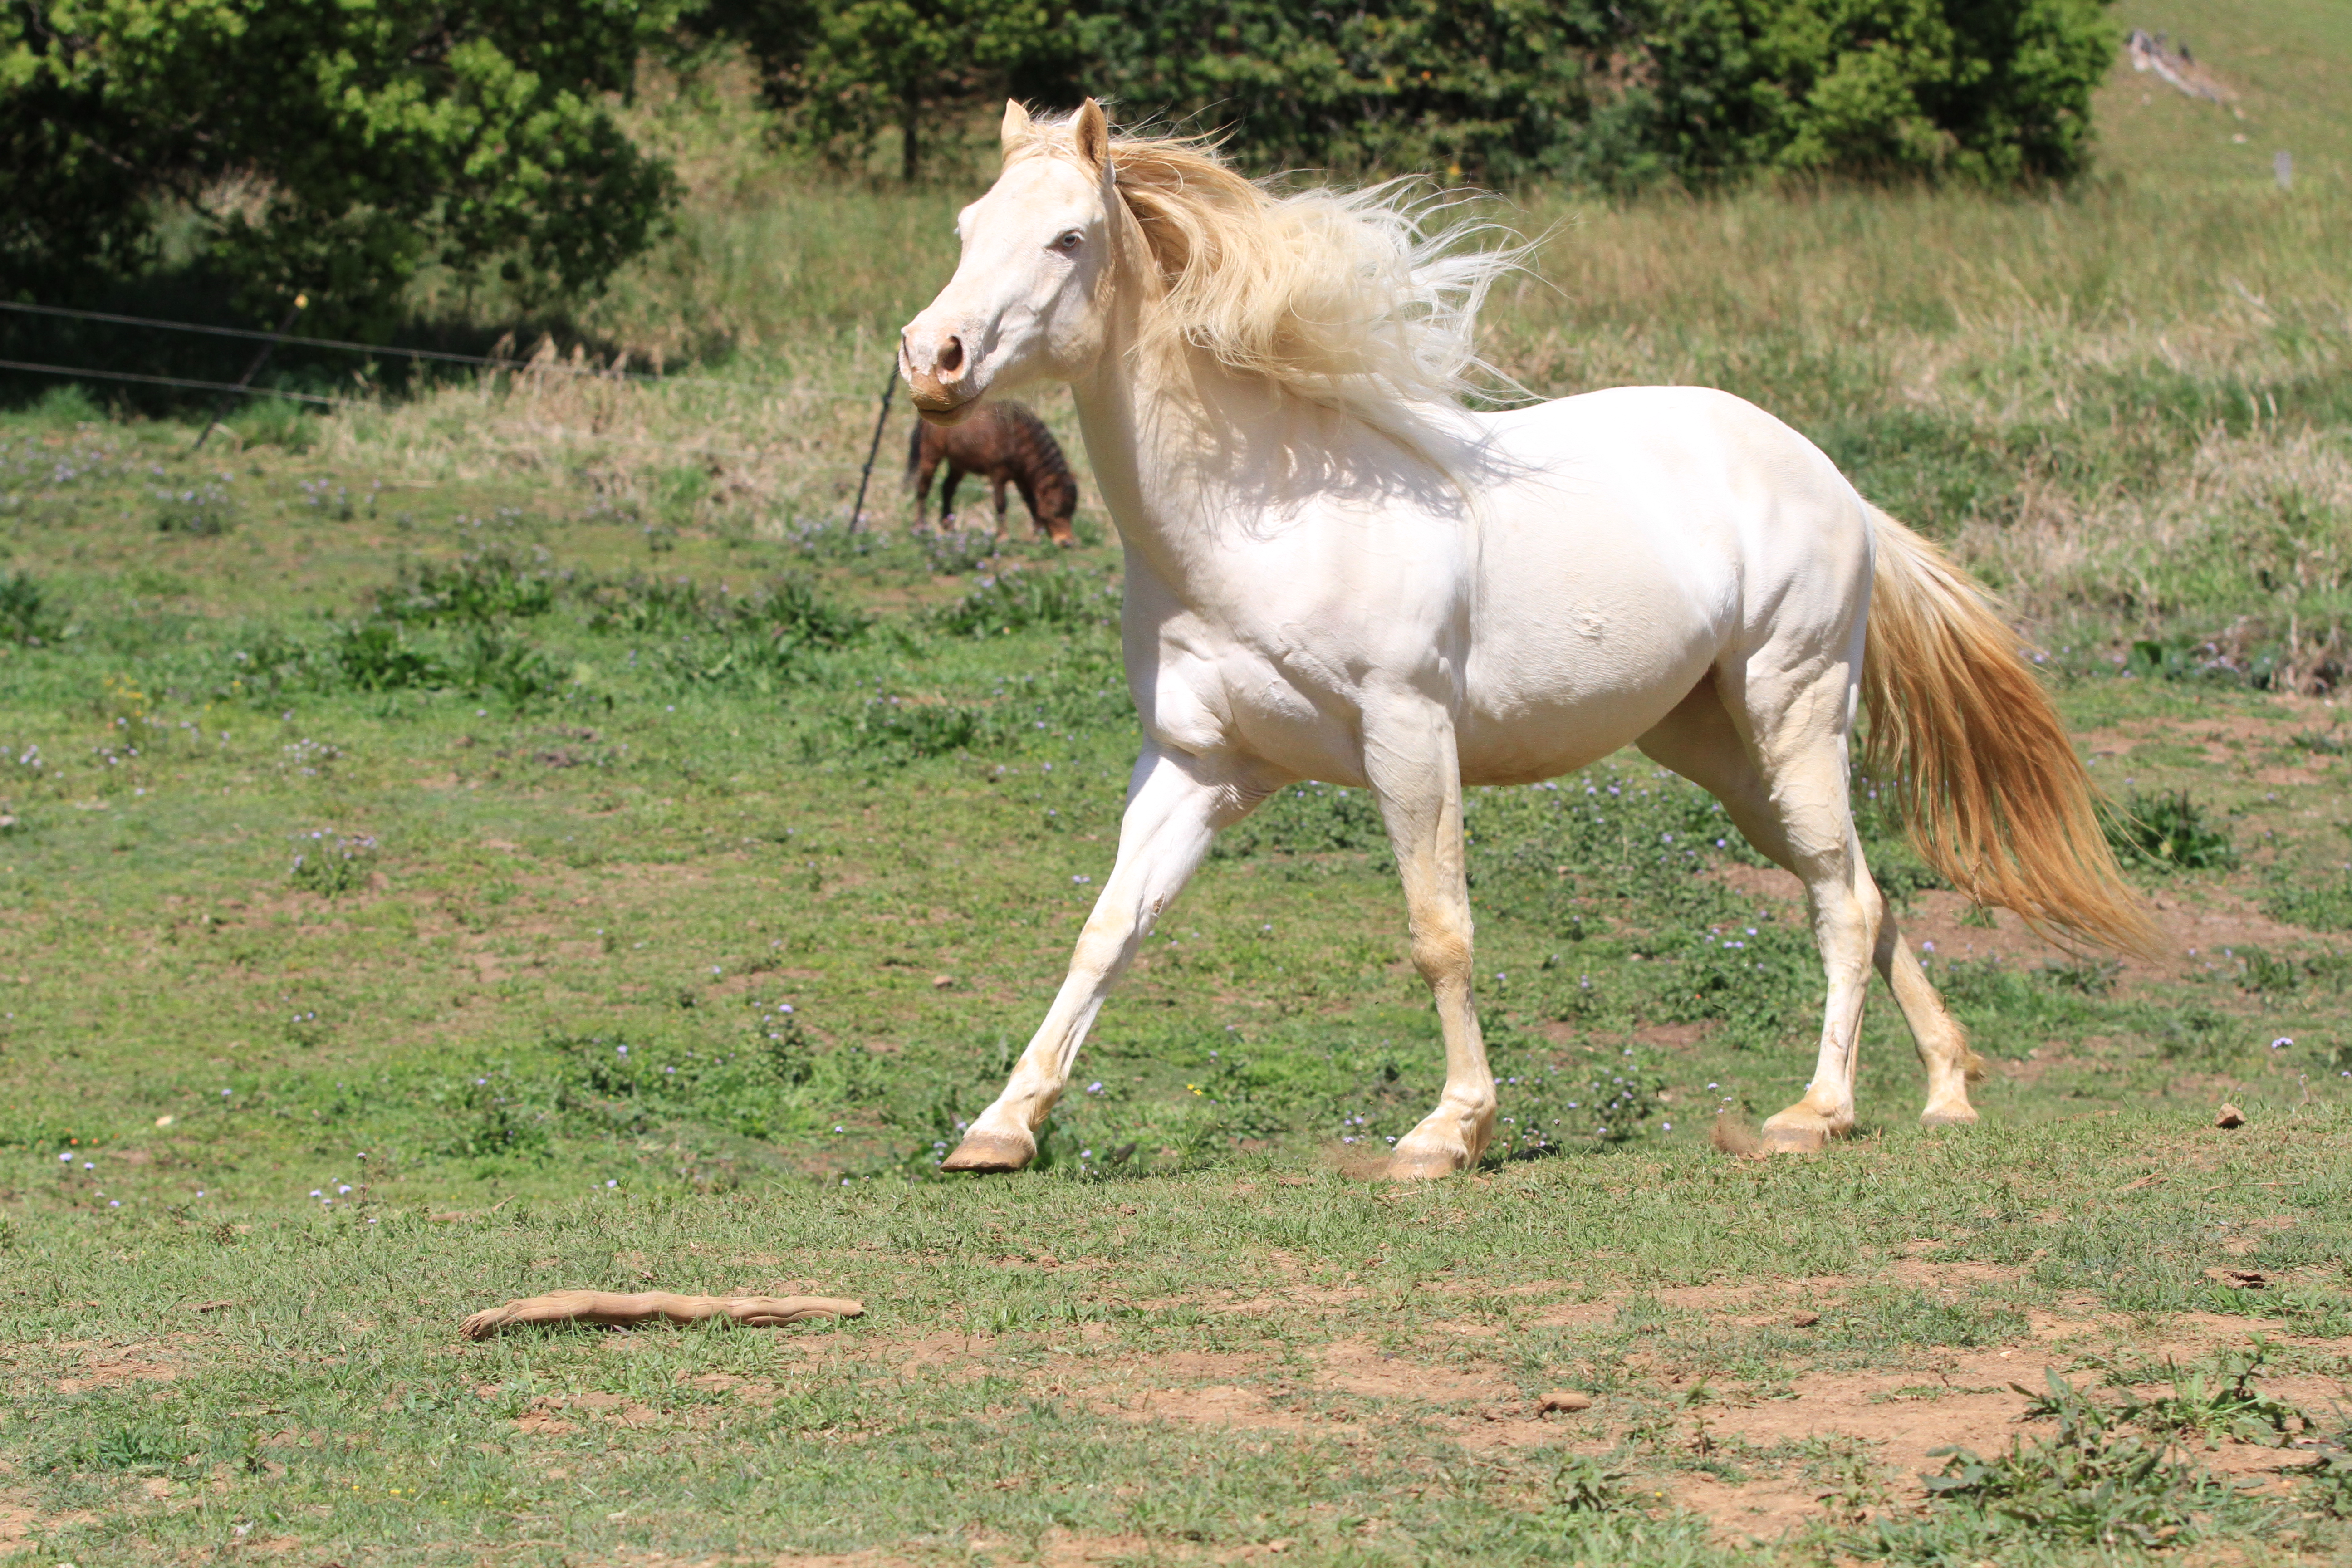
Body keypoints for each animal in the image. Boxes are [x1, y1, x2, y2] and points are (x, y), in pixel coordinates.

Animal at [903, 399, 1077, 545]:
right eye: (1057, 512)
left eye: (1072, 511)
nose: (1067, 542)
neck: (1017, 437)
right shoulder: (998, 476)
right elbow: (1001, 504)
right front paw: (1003, 536)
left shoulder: (1021, 478)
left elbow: (1032, 503)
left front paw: (1037, 535)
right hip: (931, 456)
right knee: (923, 487)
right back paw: (920, 526)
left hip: (959, 464)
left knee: (947, 489)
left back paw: (949, 526)